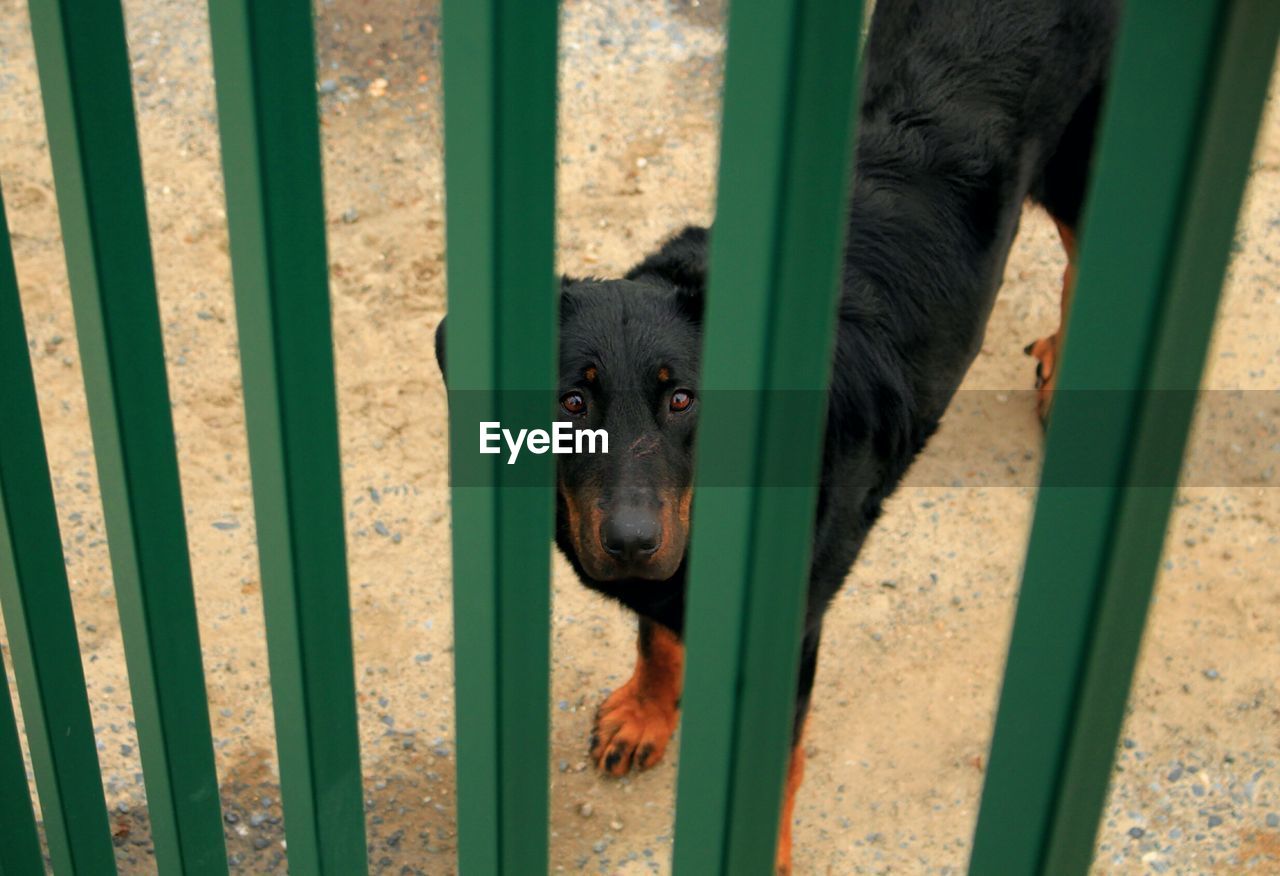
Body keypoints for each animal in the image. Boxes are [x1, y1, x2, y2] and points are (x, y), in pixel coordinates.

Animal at [440, 0, 1121, 865]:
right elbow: (658, 634)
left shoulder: (786, 626)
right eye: (570, 401)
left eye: (683, 399)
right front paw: (649, 713)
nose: (629, 541)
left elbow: (777, 762)